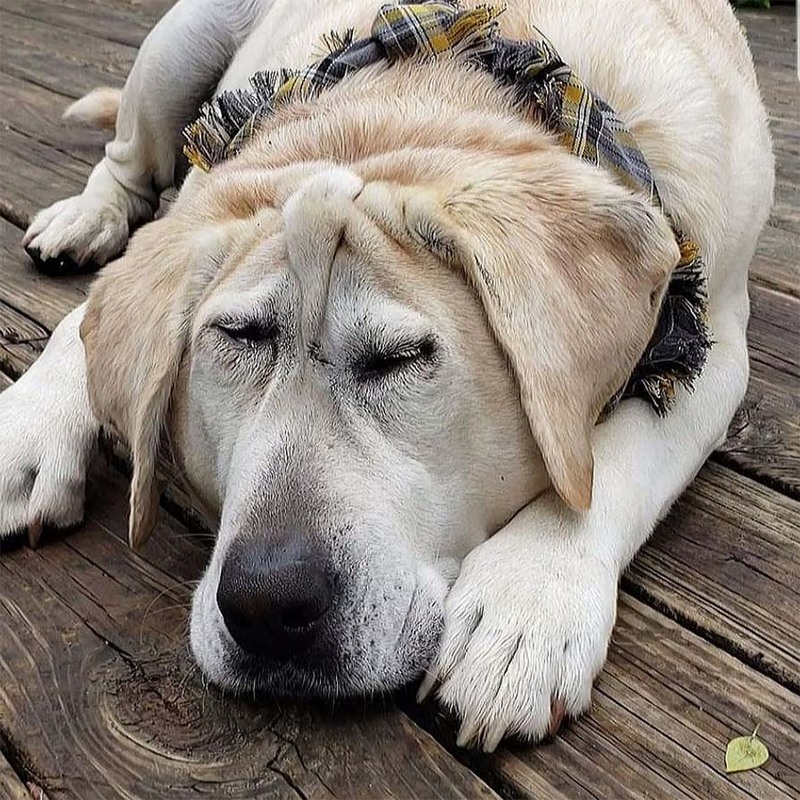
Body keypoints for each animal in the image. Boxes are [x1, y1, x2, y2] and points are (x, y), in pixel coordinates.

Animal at [0, 0, 776, 752]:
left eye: (401, 358)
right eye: (241, 336)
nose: (266, 603)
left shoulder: (716, 344)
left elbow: (616, 458)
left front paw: (524, 600)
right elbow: (88, 315)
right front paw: (26, 430)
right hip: (179, 43)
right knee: (126, 161)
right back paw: (86, 217)